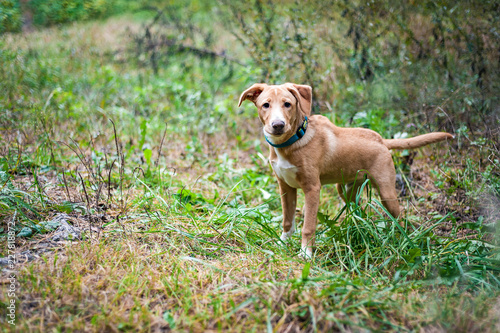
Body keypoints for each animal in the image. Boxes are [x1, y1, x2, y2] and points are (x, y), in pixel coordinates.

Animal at [238, 82, 454, 256]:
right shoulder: (285, 187)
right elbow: (287, 220)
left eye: (287, 104)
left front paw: (306, 254)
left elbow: (308, 226)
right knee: (359, 211)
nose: (278, 125)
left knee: (399, 219)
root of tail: (381, 140)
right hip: (346, 190)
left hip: (387, 192)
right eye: (265, 105)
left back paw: (401, 241)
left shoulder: (312, 189)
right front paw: (282, 244)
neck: (292, 142)